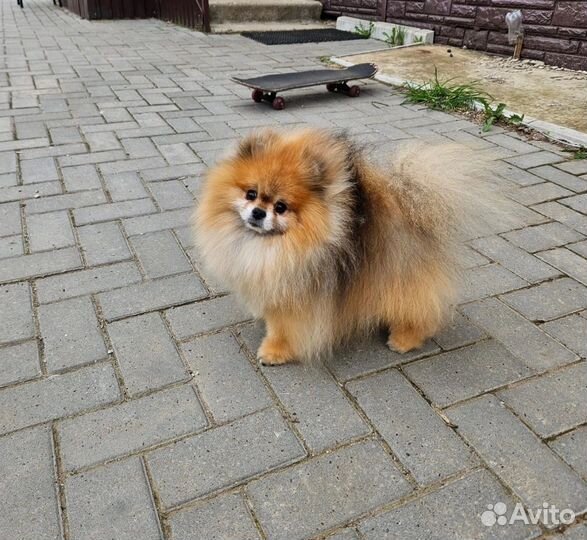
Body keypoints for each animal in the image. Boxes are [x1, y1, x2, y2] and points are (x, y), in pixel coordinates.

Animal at [196, 130, 496, 368]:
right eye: (251, 193)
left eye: (281, 207)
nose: (258, 212)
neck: (273, 245)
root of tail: (410, 204)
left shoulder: (301, 298)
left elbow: (284, 328)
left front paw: (274, 351)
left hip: (402, 275)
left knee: (419, 309)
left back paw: (404, 338)